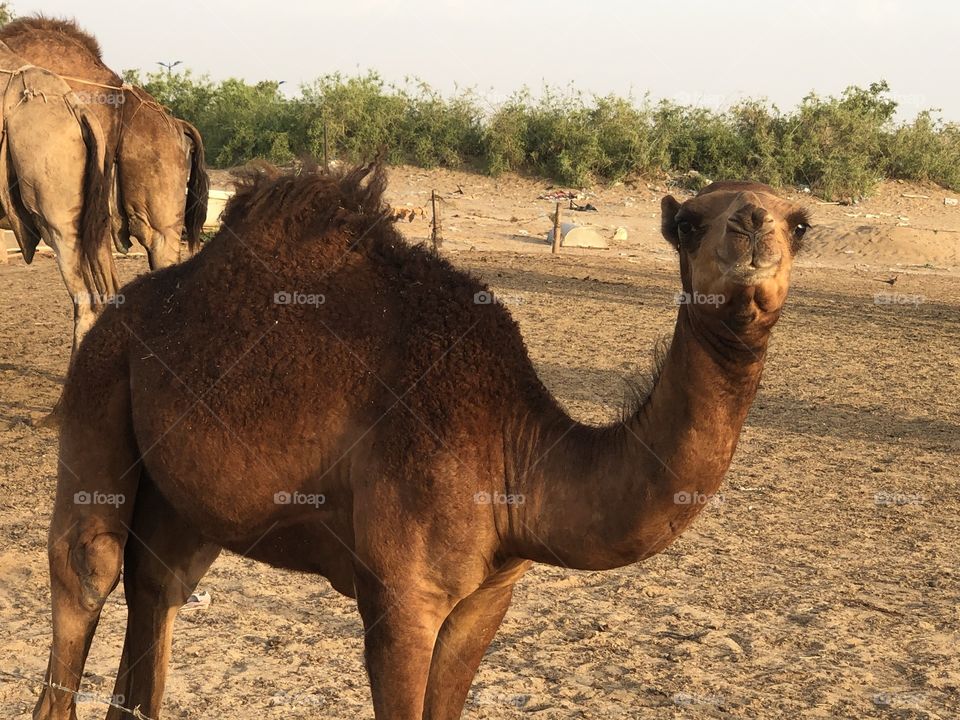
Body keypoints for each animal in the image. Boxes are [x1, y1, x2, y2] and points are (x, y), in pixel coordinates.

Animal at [34, 163, 810, 720]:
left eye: (800, 223)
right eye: (688, 222)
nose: (751, 225)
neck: (513, 450)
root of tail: (122, 311)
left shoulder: (488, 596)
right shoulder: (401, 596)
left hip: (184, 501)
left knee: (159, 584)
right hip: (100, 382)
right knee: (88, 567)